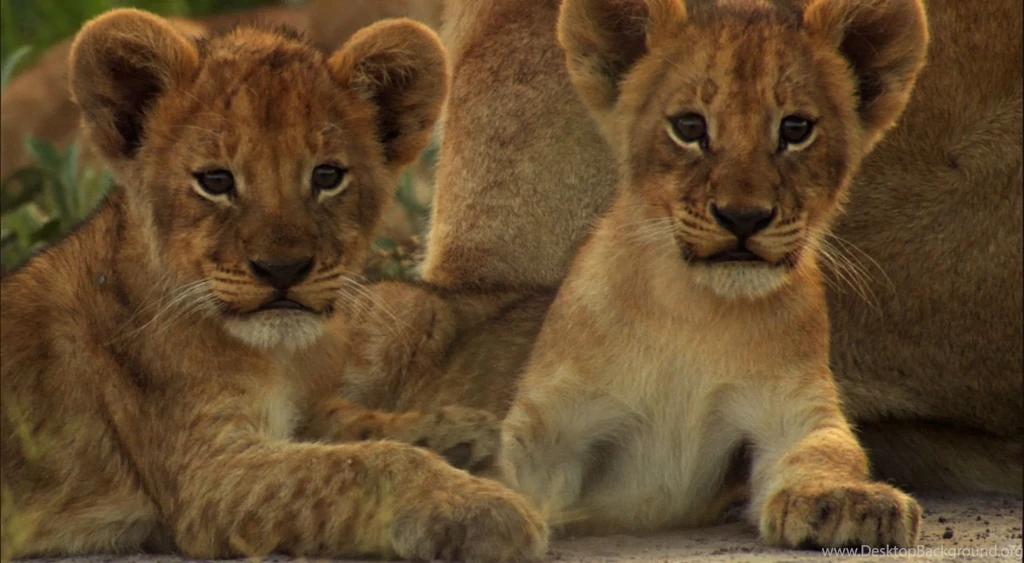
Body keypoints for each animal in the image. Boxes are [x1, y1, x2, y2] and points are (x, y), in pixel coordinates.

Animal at [0, 10, 546, 562]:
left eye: (327, 176)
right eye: (216, 181)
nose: (283, 269)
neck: (278, 357)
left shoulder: (298, 411)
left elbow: (352, 423)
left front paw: (456, 429)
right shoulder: (208, 477)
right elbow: (360, 466)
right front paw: (481, 506)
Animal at [497, 0, 929, 548]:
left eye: (795, 129)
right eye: (688, 126)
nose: (743, 217)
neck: (694, 310)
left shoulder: (792, 410)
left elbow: (825, 450)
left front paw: (851, 502)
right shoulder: (554, 426)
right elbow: (516, 478)